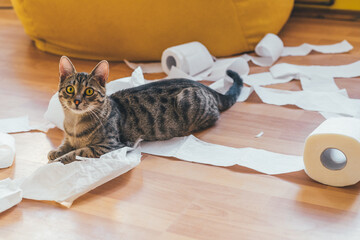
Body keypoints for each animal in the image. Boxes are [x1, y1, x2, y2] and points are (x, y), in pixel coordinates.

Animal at [47, 57, 243, 164]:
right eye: (70, 89)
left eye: (89, 91)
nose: (77, 101)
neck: (74, 123)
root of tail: (202, 85)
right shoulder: (69, 138)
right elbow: (65, 145)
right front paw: (55, 152)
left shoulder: (109, 145)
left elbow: (78, 152)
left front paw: (58, 160)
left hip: (189, 103)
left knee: (215, 116)